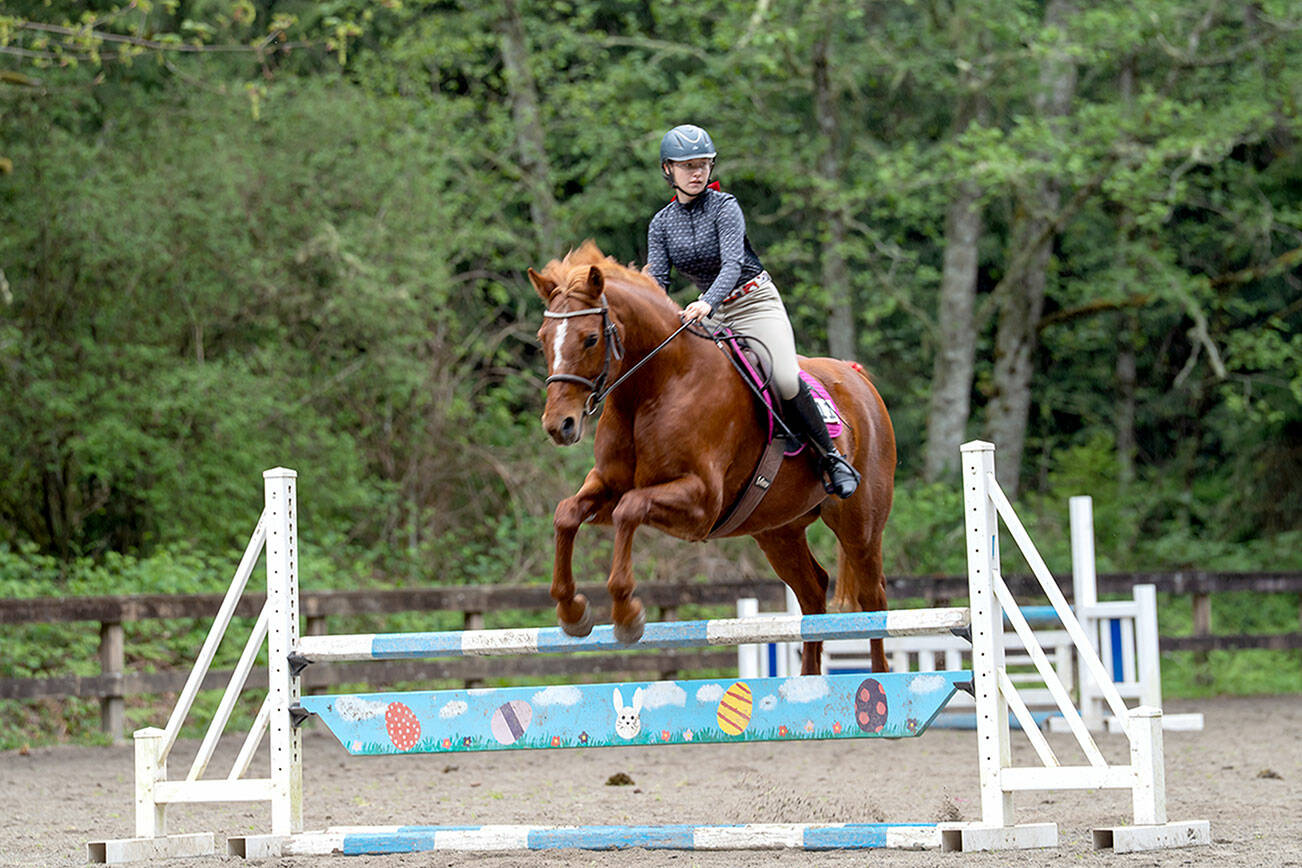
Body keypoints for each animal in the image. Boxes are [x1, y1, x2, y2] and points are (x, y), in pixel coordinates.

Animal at [528, 241, 896, 675]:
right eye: (542, 338)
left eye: (588, 339)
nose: (559, 425)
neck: (656, 385)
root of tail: (858, 378)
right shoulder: (608, 486)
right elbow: (567, 513)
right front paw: (572, 612)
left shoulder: (701, 502)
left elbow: (629, 510)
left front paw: (627, 614)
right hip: (778, 531)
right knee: (812, 594)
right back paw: (808, 683)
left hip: (859, 524)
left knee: (873, 599)